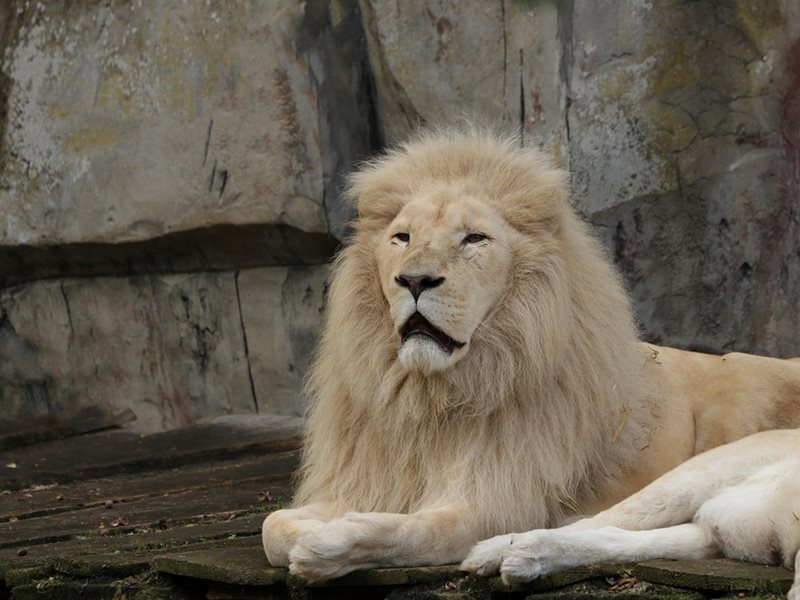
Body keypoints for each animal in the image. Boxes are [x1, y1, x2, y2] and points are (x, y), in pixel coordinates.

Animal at [260, 125, 800, 580]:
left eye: (474, 238)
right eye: (402, 238)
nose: (413, 280)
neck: (433, 396)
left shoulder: (495, 500)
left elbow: (412, 530)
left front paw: (331, 545)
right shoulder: (363, 482)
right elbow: (273, 527)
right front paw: (312, 532)